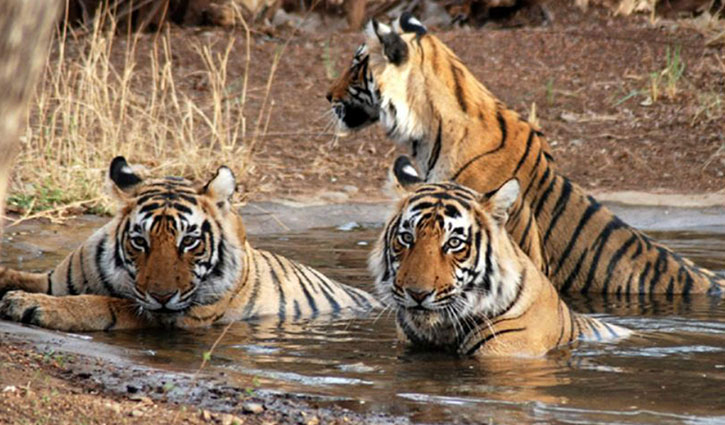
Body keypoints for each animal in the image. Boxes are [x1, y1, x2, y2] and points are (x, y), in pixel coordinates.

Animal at [0, 157, 379, 332]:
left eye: (190, 242)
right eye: (139, 241)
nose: (162, 296)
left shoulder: (173, 317)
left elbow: (104, 303)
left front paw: (29, 305)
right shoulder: (53, 280)